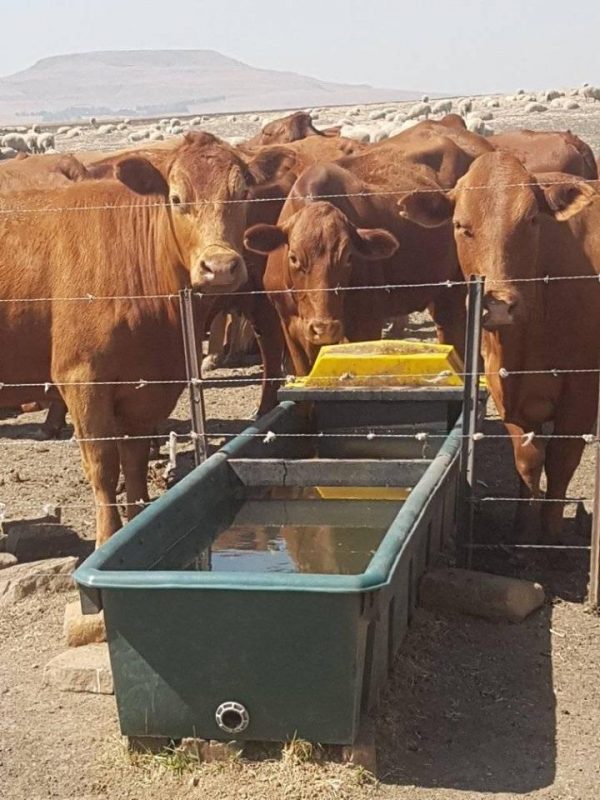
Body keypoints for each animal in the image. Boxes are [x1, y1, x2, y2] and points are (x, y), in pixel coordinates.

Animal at [0, 132, 254, 546]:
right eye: (176, 198)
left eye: (243, 194)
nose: (219, 267)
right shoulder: (81, 379)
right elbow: (104, 465)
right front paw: (107, 538)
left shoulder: (147, 386)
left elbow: (133, 461)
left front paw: (137, 524)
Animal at [398, 151, 600, 542]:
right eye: (461, 225)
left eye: (532, 220)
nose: (500, 305)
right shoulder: (501, 384)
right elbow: (528, 459)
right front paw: (522, 531)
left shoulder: (582, 389)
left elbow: (562, 457)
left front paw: (550, 533)